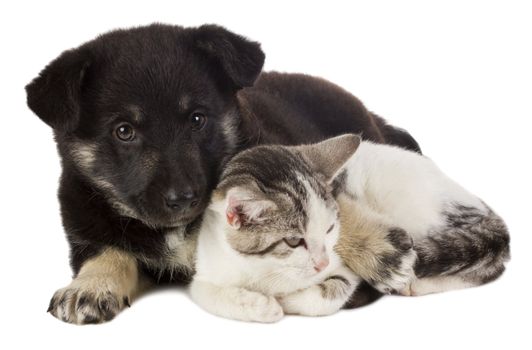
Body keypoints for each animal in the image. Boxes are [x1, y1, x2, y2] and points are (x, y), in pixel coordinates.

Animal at [26, 23, 420, 326]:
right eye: (124, 131)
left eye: (197, 119)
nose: (184, 198)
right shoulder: (84, 220)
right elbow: (106, 250)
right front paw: (91, 285)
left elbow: (327, 204)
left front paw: (378, 250)